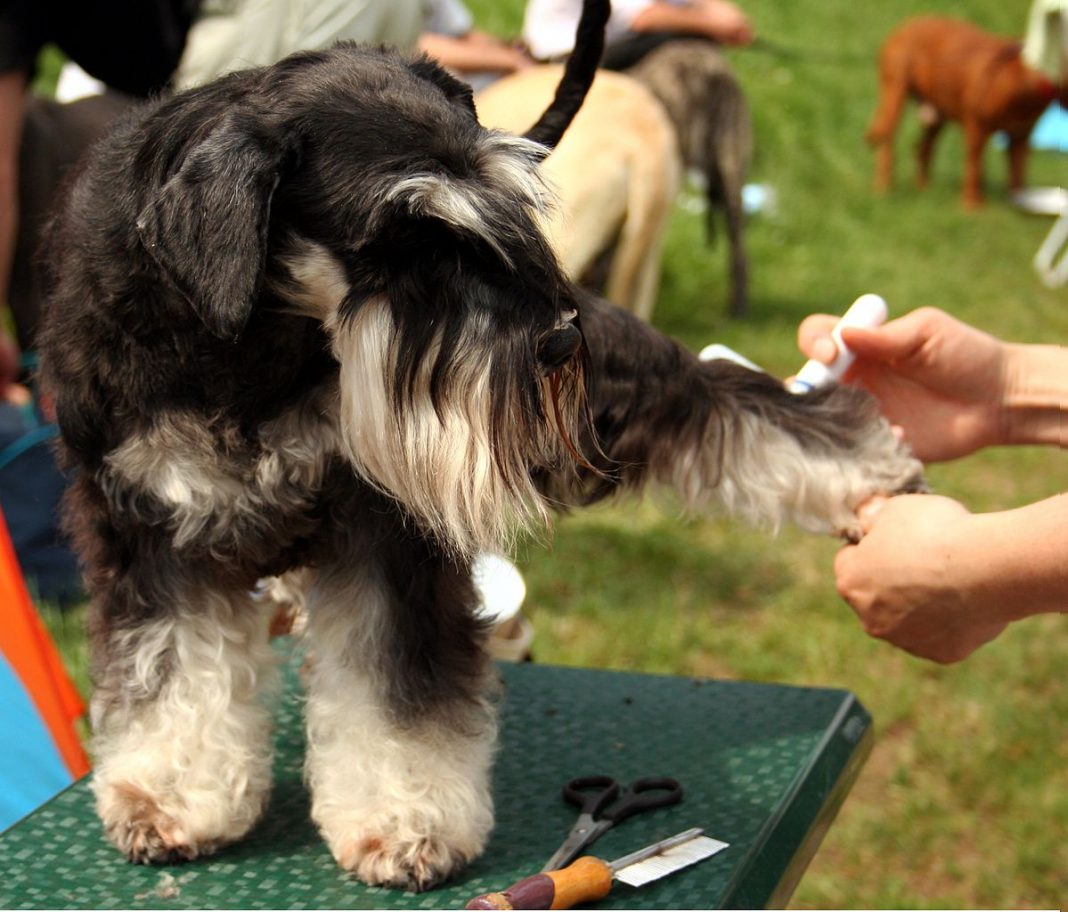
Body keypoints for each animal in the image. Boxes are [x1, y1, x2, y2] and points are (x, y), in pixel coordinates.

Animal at [867, 16, 1068, 209]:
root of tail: (904, 26)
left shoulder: (1020, 138)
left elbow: (1017, 175)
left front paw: (1021, 201)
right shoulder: (976, 130)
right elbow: (974, 167)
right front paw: (972, 205)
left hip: (936, 115)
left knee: (923, 147)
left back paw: (924, 187)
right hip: (894, 95)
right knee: (887, 142)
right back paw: (883, 187)